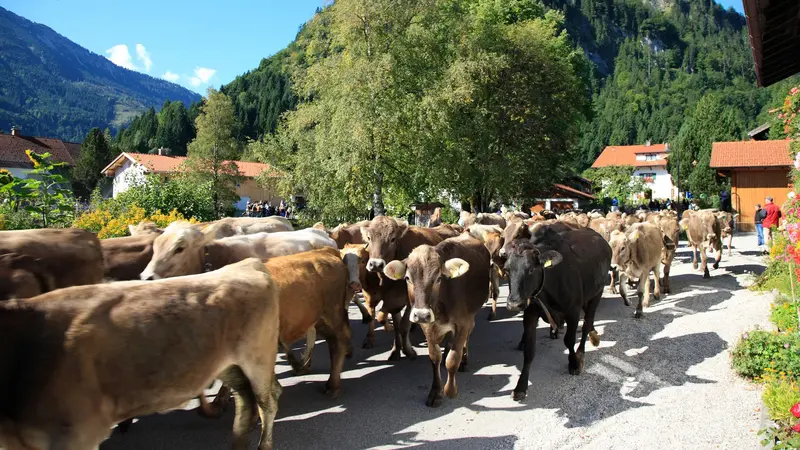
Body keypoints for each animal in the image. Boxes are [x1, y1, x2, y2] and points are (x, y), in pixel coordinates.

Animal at [0, 258, 282, 450]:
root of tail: (248, 263)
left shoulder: (78, 435)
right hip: (228, 365)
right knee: (245, 402)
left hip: (258, 359)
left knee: (267, 403)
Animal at [362, 216, 444, 360]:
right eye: (369, 238)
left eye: (393, 239)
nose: (375, 264)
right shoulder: (390, 299)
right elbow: (392, 323)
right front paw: (396, 349)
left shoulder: (407, 299)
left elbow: (403, 325)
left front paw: (407, 350)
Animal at [384, 234, 490, 406]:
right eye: (407, 278)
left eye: (439, 278)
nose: (421, 314)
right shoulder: (428, 326)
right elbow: (435, 357)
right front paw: (435, 392)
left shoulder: (463, 323)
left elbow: (453, 359)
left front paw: (450, 390)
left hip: (471, 316)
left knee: (467, 337)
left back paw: (464, 360)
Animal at [506, 227, 612, 400]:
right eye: (507, 270)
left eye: (531, 269)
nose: (514, 304)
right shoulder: (530, 314)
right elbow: (529, 350)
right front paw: (521, 386)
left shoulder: (573, 311)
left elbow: (569, 341)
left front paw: (574, 363)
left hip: (597, 292)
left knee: (586, 324)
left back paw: (582, 351)